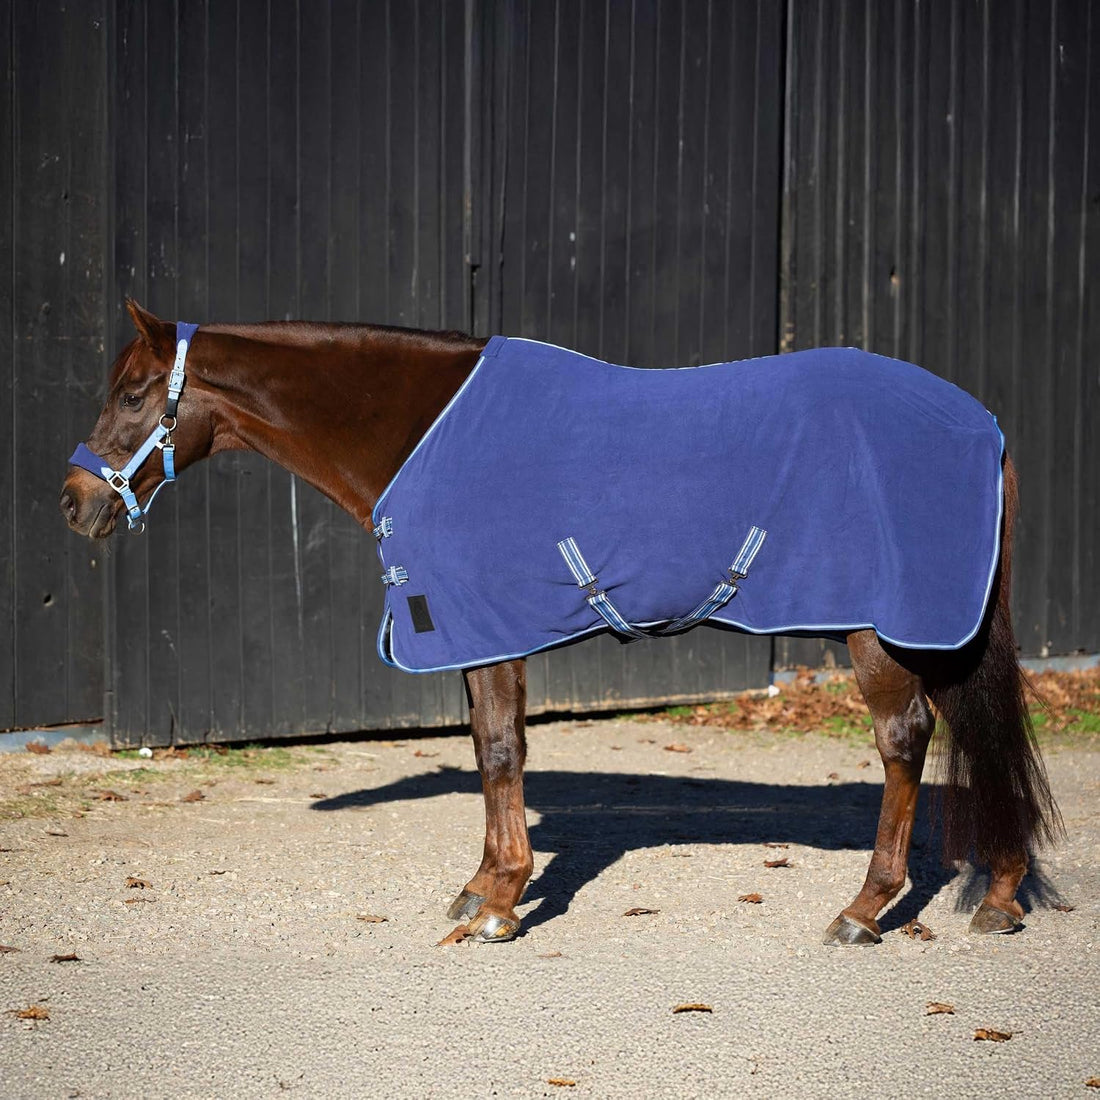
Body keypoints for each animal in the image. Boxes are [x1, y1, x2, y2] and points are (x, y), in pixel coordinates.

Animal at [60, 300, 1061, 945]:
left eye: (136, 394)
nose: (73, 503)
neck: (423, 431)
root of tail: (985, 425)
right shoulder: (476, 630)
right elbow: (486, 747)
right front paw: (481, 888)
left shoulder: (490, 625)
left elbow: (502, 748)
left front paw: (502, 903)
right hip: (937, 629)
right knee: (979, 732)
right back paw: (1002, 894)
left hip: (882, 627)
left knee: (907, 739)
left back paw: (864, 910)